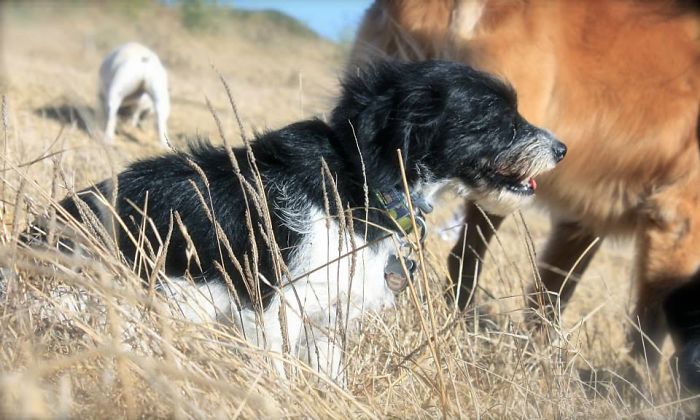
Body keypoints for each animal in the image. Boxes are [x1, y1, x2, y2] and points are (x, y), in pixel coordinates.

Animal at [50, 61, 564, 380]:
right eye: (500, 117)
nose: (561, 148)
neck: (359, 178)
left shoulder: (328, 316)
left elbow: (329, 373)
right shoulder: (274, 307)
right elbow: (276, 369)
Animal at [350, 0, 700, 366]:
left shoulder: (583, 223)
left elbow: (550, 297)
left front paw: (540, 360)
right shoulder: (679, 224)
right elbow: (649, 336)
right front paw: (637, 382)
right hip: (502, 173)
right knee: (461, 258)